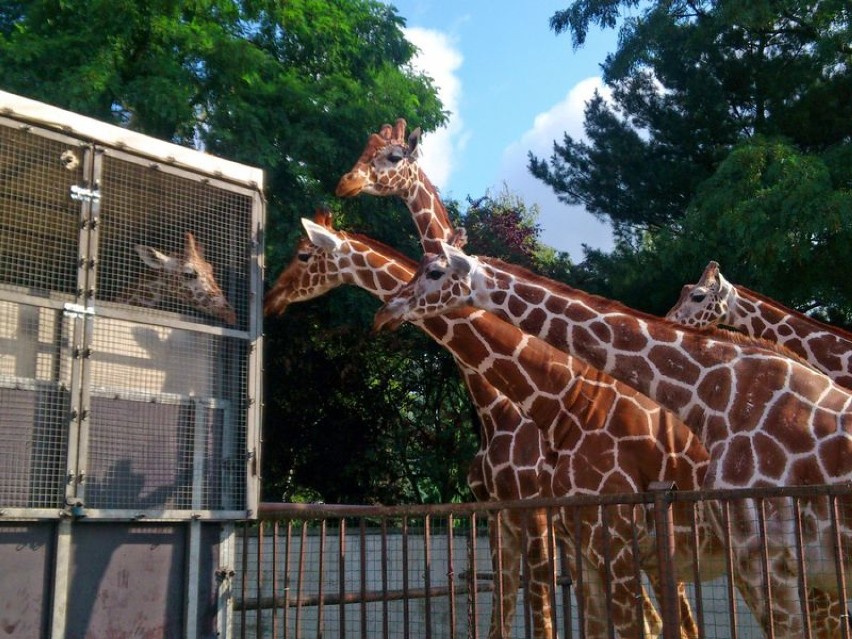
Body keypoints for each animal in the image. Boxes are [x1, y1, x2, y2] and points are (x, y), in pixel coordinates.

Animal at [264, 214, 720, 639]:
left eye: (303, 254)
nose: (271, 299)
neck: (498, 409)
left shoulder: (541, 518)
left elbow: (543, 618)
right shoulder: (503, 521)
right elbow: (503, 619)